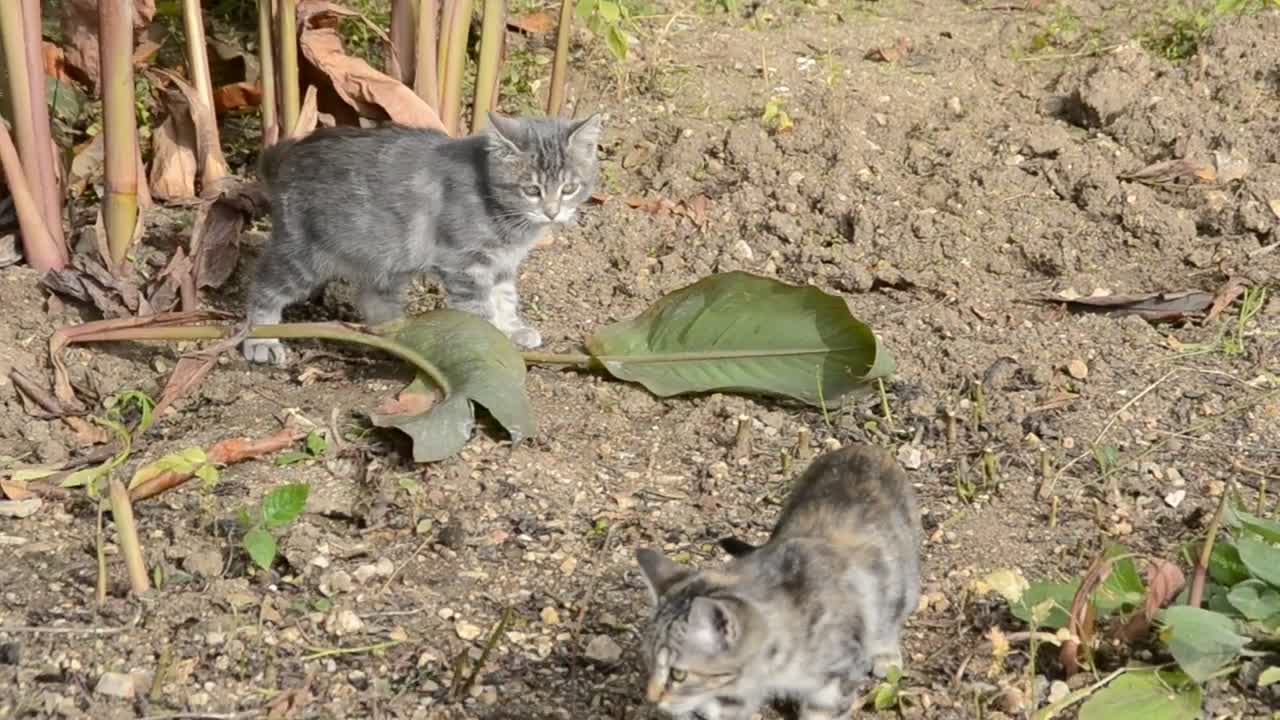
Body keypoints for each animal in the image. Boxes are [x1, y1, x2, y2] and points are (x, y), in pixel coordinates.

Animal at [241, 112, 601, 363]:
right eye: (531, 190)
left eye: (569, 188)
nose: (552, 213)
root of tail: (286, 156)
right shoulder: (465, 264)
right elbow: (481, 307)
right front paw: (492, 340)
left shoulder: (501, 264)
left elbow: (504, 297)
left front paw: (512, 328)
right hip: (302, 253)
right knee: (264, 286)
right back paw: (260, 339)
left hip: (388, 256)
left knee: (373, 299)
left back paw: (400, 334)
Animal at [637, 440, 921, 712]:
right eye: (648, 663)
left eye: (678, 674)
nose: (650, 698)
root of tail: (866, 447)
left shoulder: (838, 680)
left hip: (902, 580)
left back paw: (885, 653)